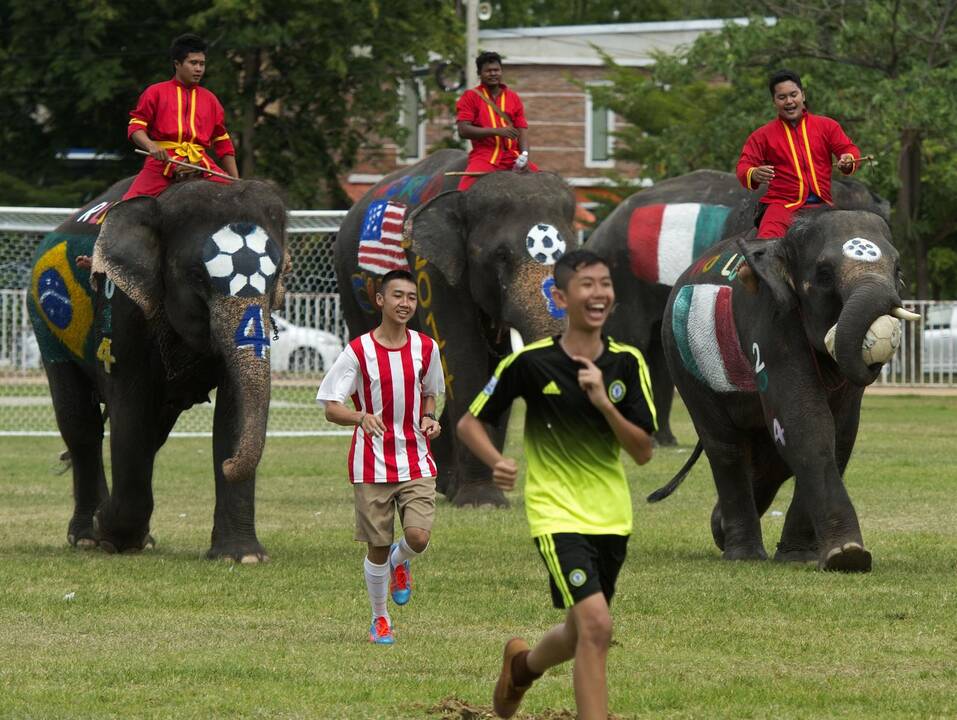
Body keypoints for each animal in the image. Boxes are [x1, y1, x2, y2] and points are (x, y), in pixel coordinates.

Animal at [30, 177, 292, 560]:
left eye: (276, 278)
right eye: (196, 276)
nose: (230, 466)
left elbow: (232, 413)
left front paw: (242, 556)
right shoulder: (122, 308)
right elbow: (130, 409)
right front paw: (109, 533)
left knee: (153, 432)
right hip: (47, 327)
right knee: (81, 424)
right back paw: (87, 536)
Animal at [334, 147, 572, 506]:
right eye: (500, 256)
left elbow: (494, 370)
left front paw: (488, 497)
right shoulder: (431, 271)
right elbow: (463, 357)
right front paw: (481, 501)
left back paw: (443, 483)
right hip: (351, 285)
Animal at [652, 208, 916, 572]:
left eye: (898, 270)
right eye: (823, 274)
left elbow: (841, 434)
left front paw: (804, 557)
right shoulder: (771, 323)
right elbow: (805, 425)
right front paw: (848, 556)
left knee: (769, 461)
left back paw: (720, 529)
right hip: (683, 363)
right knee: (725, 447)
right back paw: (743, 554)